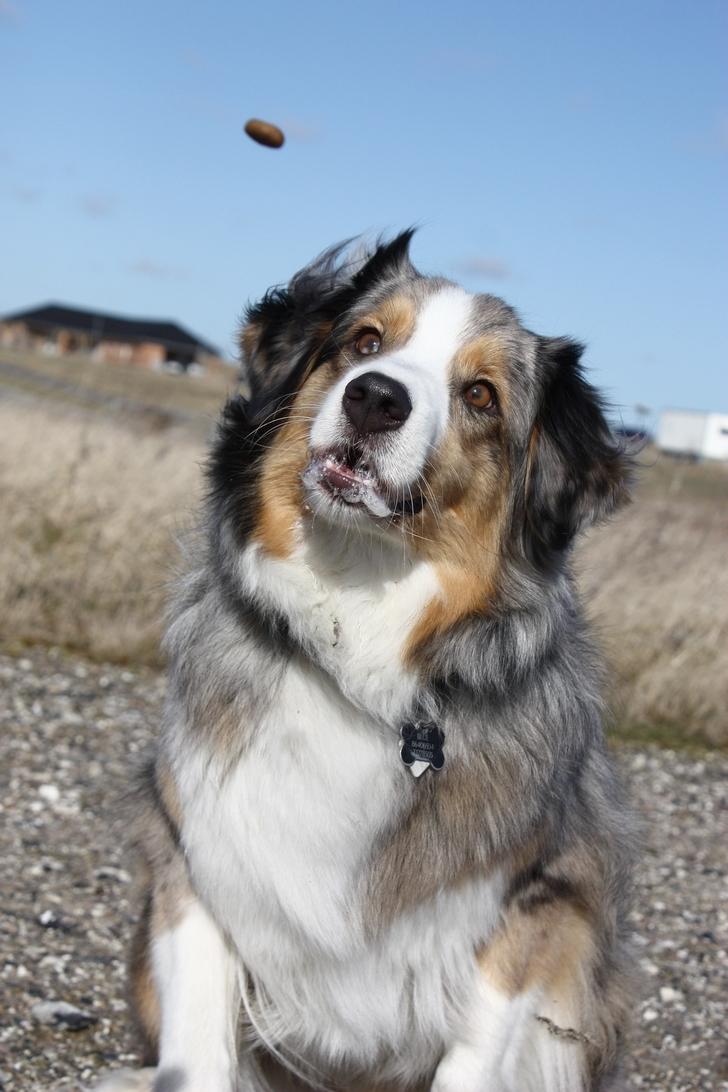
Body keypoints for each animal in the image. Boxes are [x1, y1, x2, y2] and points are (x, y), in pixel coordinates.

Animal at [99, 232, 633, 1092]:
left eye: (480, 395)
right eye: (365, 342)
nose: (376, 398)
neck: (355, 633)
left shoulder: (542, 903)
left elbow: (472, 1060)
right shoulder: (197, 856)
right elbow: (200, 1051)